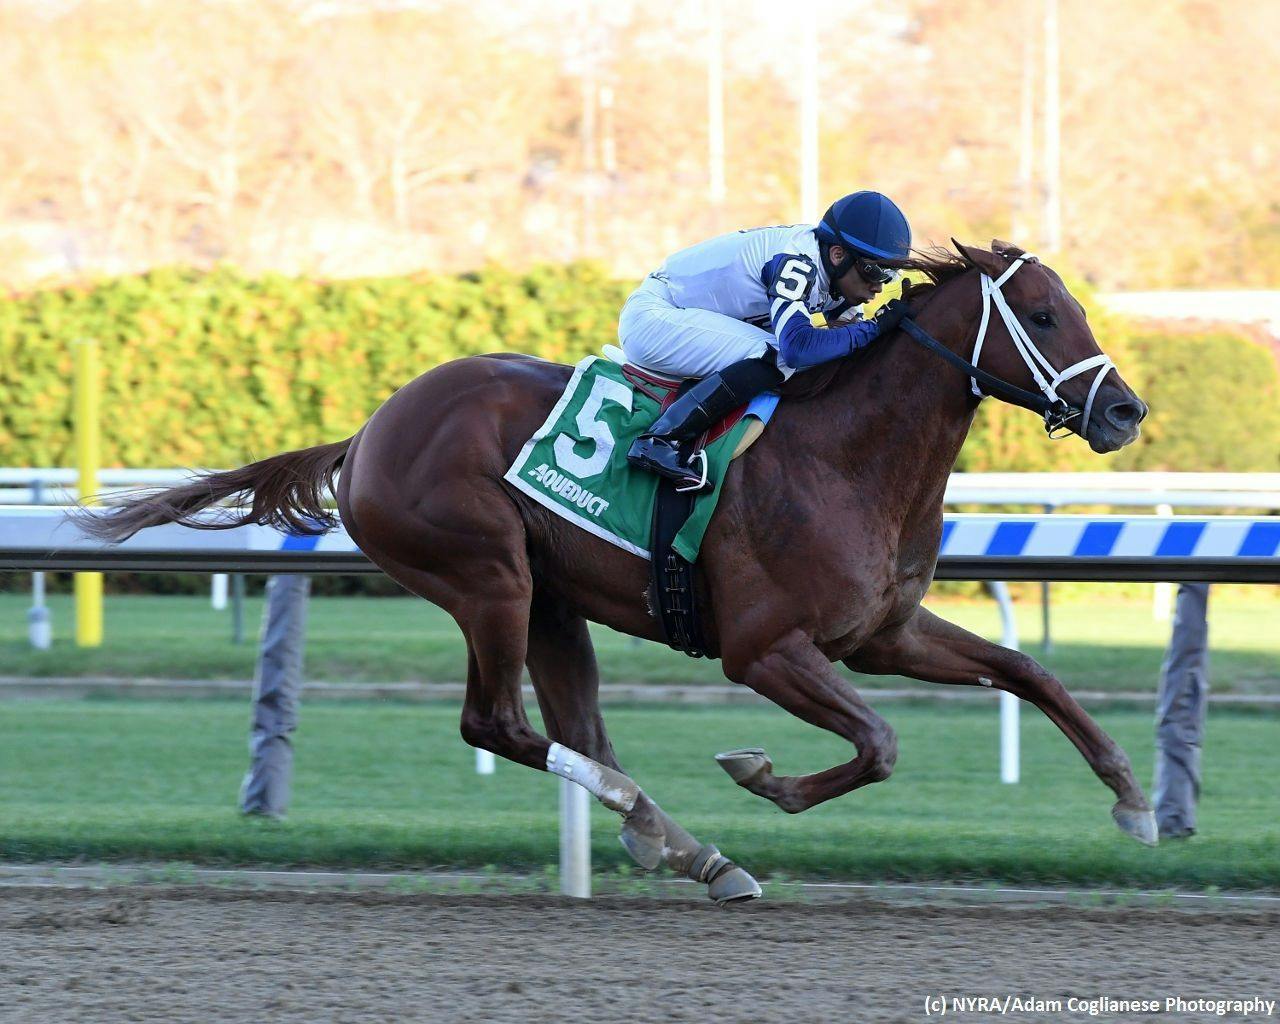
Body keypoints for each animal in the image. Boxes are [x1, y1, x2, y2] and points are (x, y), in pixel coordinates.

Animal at [82, 241, 1162, 906]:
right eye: (1040, 314)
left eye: (1072, 306)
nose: (1124, 412)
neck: (847, 455)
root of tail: (369, 430)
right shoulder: (763, 650)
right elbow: (880, 743)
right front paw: (760, 773)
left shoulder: (881, 634)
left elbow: (1026, 671)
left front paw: (1132, 796)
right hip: (488, 577)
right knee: (498, 724)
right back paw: (668, 832)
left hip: (550, 602)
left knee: (571, 726)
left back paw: (680, 845)